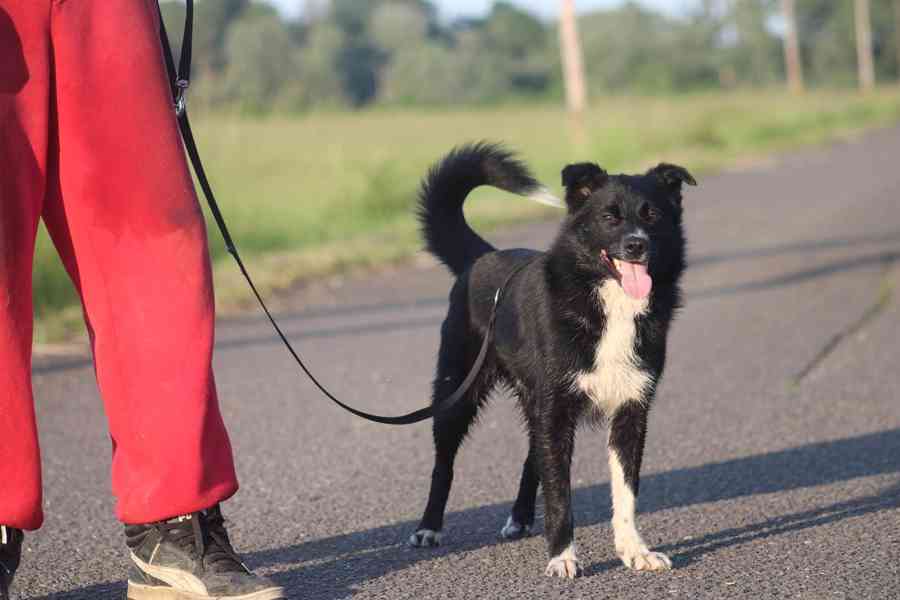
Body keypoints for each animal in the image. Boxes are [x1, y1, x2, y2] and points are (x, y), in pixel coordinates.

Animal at [408, 144, 696, 576]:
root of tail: (482, 257)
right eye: (609, 216)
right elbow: (560, 492)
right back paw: (428, 528)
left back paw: (520, 517)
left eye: (652, 215)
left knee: (533, 456)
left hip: (536, 401)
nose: (636, 245)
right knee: (445, 464)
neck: (608, 303)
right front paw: (563, 557)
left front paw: (635, 550)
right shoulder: (558, 409)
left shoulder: (631, 410)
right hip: (458, 392)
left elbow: (626, 490)